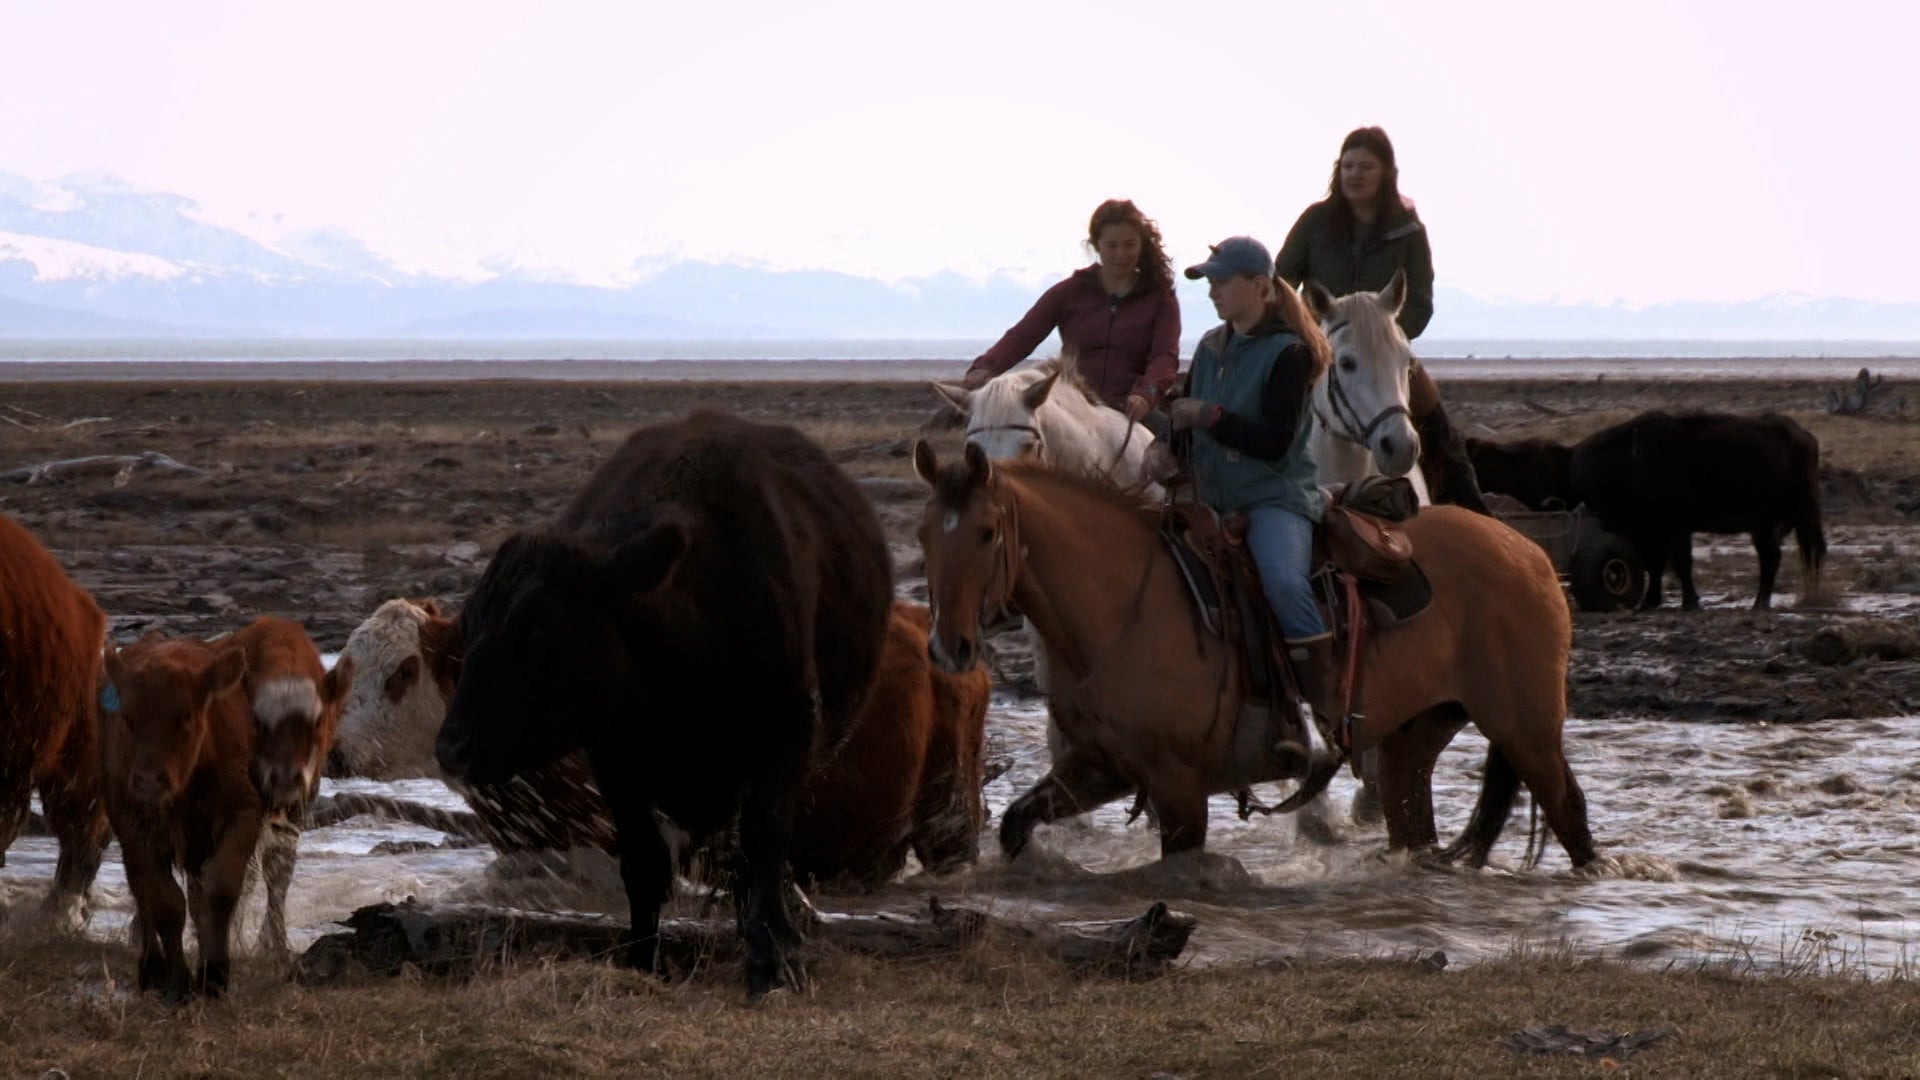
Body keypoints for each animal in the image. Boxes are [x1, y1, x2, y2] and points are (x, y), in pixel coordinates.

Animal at [100, 635, 261, 1003]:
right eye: (128, 718)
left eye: (186, 715)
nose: (148, 780)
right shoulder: (135, 828)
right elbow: (165, 903)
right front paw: (178, 982)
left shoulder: (245, 814)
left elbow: (220, 887)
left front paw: (214, 974)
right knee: (142, 893)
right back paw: (151, 969)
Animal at [434, 410, 895, 998]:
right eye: (470, 625)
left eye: (539, 630)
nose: (453, 747)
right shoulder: (614, 756)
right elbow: (644, 861)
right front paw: (642, 958)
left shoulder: (788, 731)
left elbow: (764, 842)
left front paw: (773, 958)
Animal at [1569, 410, 1827, 609]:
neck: (1630, 459)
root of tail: (1805, 437)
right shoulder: (1652, 533)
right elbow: (1656, 564)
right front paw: (1650, 602)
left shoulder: (1674, 528)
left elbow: (1680, 562)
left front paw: (1689, 602)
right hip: (1764, 526)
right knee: (1772, 556)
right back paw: (1760, 604)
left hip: (1804, 515)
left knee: (1811, 552)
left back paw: (1805, 596)